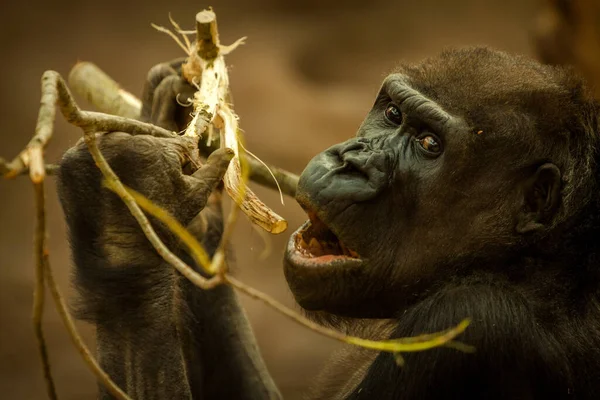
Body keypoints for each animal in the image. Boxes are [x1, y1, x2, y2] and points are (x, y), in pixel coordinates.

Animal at [55, 47, 600, 400]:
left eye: (429, 144)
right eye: (392, 113)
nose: (350, 160)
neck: (525, 265)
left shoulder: (472, 323)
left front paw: (122, 219)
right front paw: (172, 110)